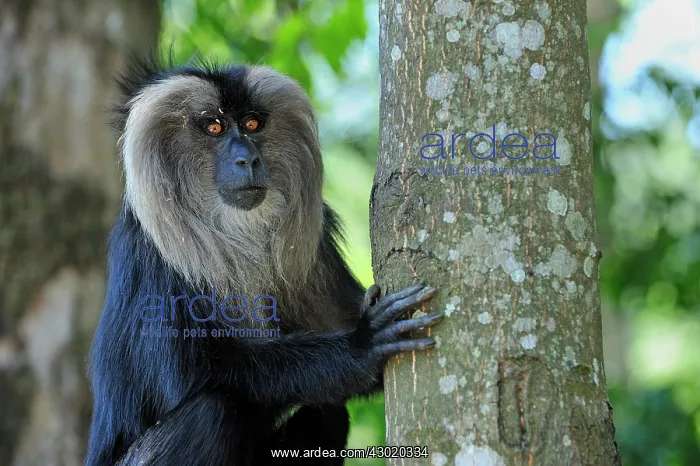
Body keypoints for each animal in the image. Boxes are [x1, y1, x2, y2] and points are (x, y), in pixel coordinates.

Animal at [85, 54, 444, 466]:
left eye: (252, 124)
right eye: (214, 127)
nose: (247, 159)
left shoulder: (315, 246)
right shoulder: (150, 256)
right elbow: (198, 377)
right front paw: (361, 345)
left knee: (328, 413)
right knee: (213, 410)